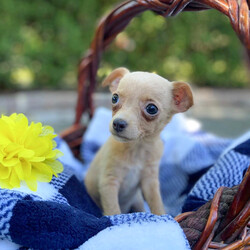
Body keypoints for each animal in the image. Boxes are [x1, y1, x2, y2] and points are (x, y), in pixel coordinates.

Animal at [84, 67, 193, 216]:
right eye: (114, 98)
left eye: (151, 109)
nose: (118, 123)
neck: (137, 148)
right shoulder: (109, 182)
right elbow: (113, 210)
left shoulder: (149, 182)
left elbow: (157, 203)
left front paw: (163, 217)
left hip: (137, 199)